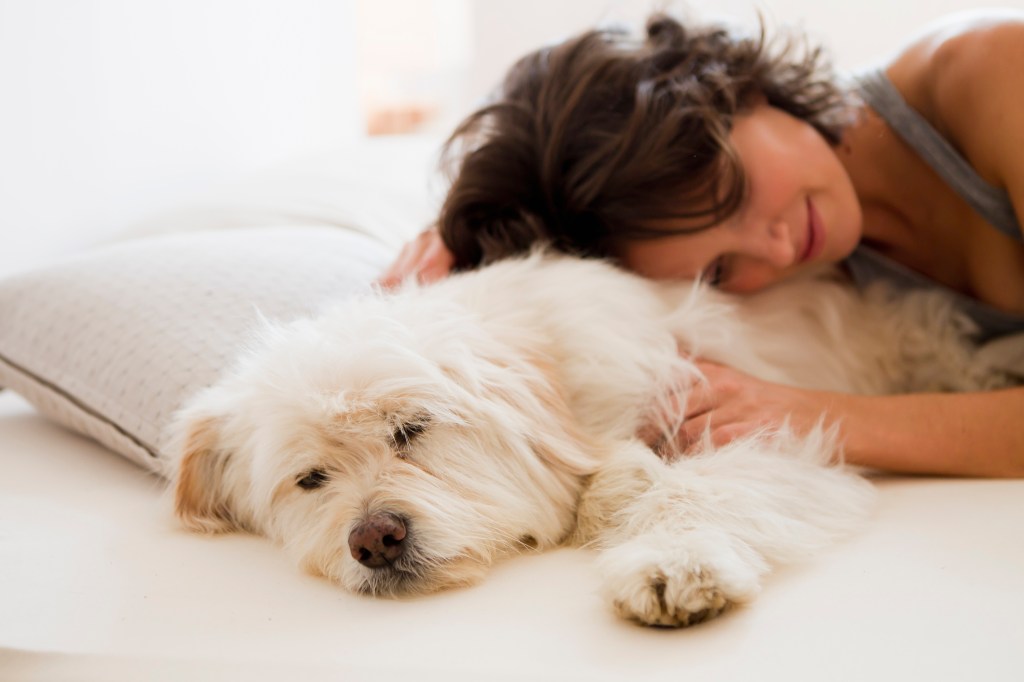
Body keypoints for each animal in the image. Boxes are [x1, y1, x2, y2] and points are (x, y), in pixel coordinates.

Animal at [169, 248, 1007, 622]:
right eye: (310, 480)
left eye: (411, 429)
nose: (374, 538)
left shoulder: (754, 427)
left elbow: (692, 492)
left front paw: (676, 561)